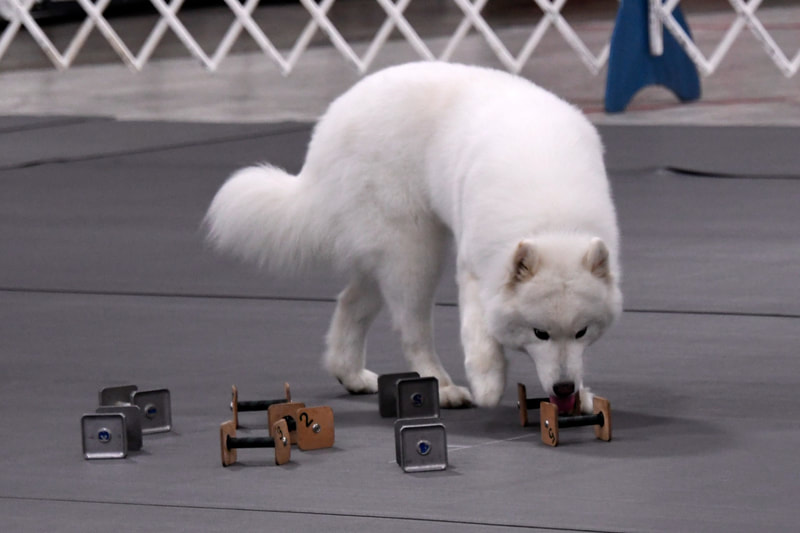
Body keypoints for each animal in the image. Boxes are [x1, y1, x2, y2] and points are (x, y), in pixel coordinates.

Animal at [206, 62, 620, 412]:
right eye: (540, 333)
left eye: (582, 332)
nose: (564, 389)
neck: (552, 220)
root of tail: (332, 120)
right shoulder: (474, 267)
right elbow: (480, 334)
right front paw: (487, 383)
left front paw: (583, 396)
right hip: (414, 251)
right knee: (412, 329)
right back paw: (443, 386)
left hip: (388, 255)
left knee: (351, 302)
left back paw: (351, 374)